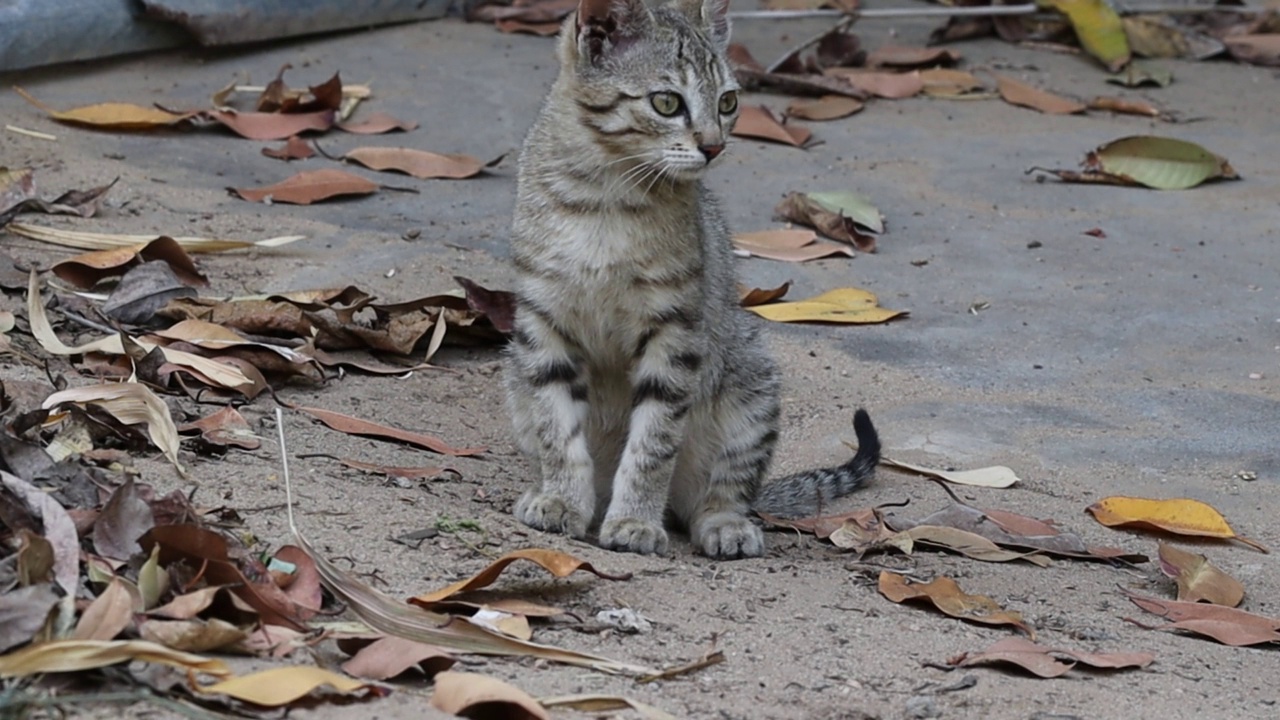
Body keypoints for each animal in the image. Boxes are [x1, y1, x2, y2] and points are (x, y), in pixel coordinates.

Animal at [501, 0, 880, 558]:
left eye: (727, 101)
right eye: (666, 102)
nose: (714, 146)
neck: (606, 197)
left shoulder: (675, 332)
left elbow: (653, 444)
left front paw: (635, 520)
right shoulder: (544, 323)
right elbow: (556, 428)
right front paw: (562, 499)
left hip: (749, 382)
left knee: (721, 493)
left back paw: (723, 523)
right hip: (513, 374)